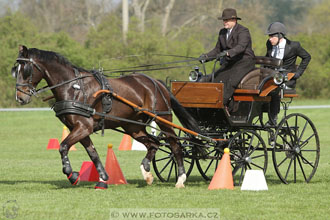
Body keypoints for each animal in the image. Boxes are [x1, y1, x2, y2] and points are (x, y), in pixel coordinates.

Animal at [12, 45, 199, 189]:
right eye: (16, 70)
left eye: (26, 69)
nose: (20, 98)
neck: (74, 88)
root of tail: (156, 82)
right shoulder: (79, 129)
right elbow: (92, 153)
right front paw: (102, 179)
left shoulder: (83, 127)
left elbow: (63, 146)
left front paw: (72, 174)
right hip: (133, 126)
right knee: (153, 143)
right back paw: (146, 172)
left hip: (163, 119)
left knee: (175, 145)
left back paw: (180, 179)